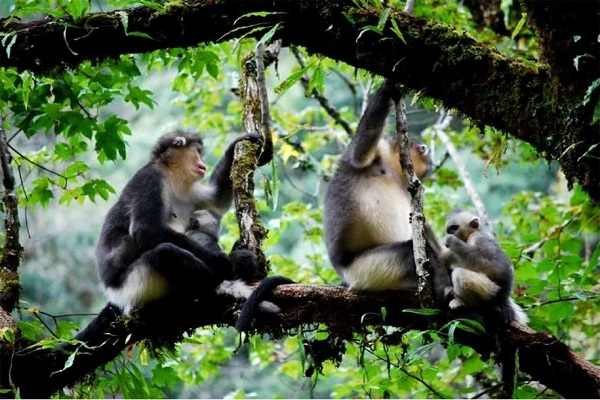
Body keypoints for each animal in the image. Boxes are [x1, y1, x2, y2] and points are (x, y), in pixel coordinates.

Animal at [95, 130, 270, 314]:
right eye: (197, 152)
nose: (202, 164)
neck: (171, 177)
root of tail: (115, 294)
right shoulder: (150, 178)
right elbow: (146, 231)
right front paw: (230, 261)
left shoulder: (188, 191)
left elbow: (217, 200)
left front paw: (238, 144)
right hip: (135, 286)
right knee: (165, 252)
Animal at [324, 79, 450, 304]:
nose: (431, 164)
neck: (392, 171)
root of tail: (345, 276)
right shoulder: (379, 149)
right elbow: (360, 154)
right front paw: (388, 87)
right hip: (368, 270)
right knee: (409, 252)